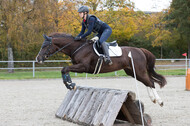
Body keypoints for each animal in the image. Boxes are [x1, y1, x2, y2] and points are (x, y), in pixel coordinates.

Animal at [35, 32, 166, 106]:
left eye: (45, 46)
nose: (38, 59)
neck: (78, 47)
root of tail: (140, 50)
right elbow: (64, 69)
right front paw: (70, 84)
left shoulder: (83, 67)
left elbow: (65, 69)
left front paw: (70, 84)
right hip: (133, 72)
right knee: (147, 82)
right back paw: (153, 99)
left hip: (139, 71)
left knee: (151, 82)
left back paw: (159, 101)